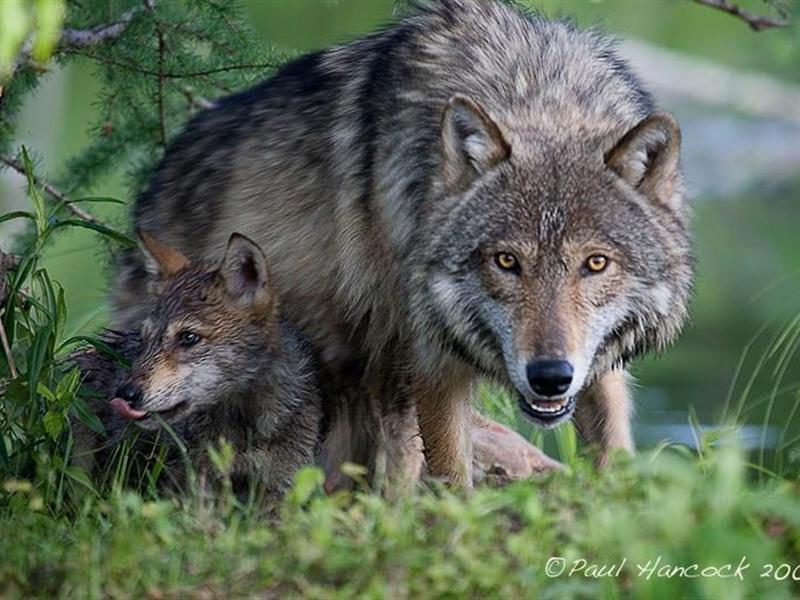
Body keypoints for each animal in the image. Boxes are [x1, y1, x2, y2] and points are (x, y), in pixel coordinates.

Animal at [72, 231, 322, 496]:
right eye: (145, 338)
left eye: (188, 337)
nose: (125, 394)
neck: (245, 423)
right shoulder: (195, 487)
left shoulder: (282, 484)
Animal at [112, 0, 692, 488]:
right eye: (506, 261)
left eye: (596, 263)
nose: (549, 377)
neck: (535, 94)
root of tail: (151, 186)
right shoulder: (433, 360)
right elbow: (454, 479)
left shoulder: (597, 366)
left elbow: (614, 454)